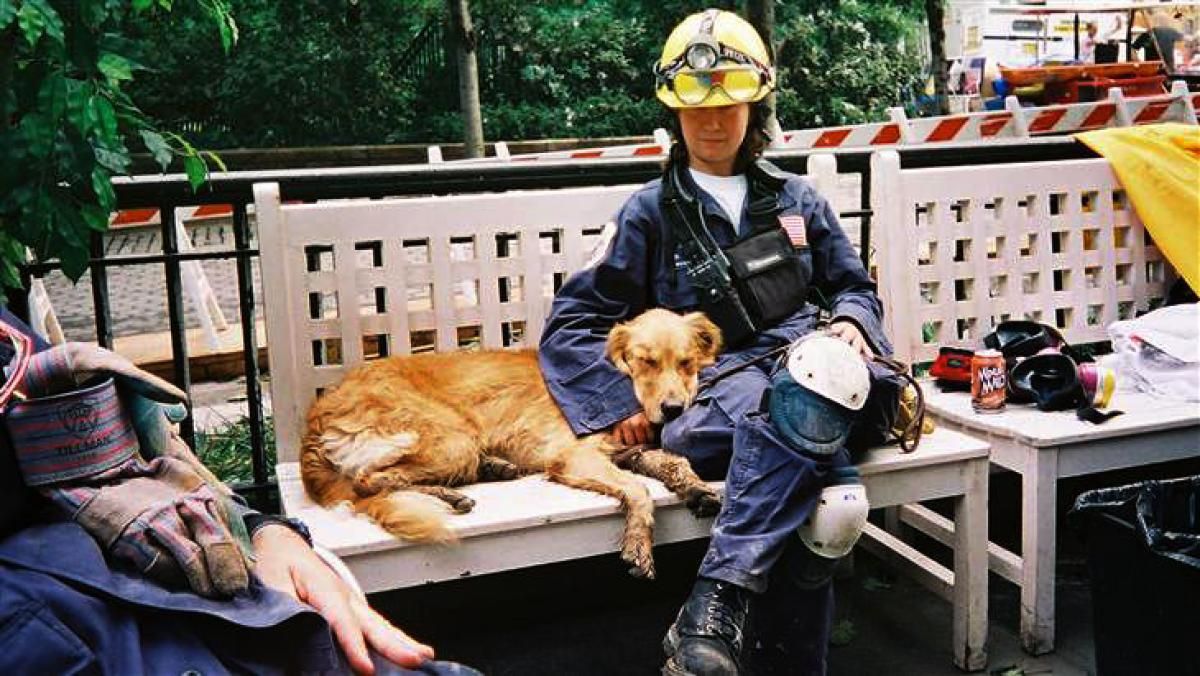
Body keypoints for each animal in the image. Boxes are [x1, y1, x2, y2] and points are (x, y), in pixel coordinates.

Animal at [304, 309, 724, 578]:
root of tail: (319, 410)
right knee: (370, 480)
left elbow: (675, 463)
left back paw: (486, 471)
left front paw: (696, 488)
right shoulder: (575, 458)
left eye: (686, 363)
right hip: (453, 439)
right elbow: (639, 490)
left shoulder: (629, 452)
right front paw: (638, 541)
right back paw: (451, 492)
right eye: (646, 361)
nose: (673, 410)